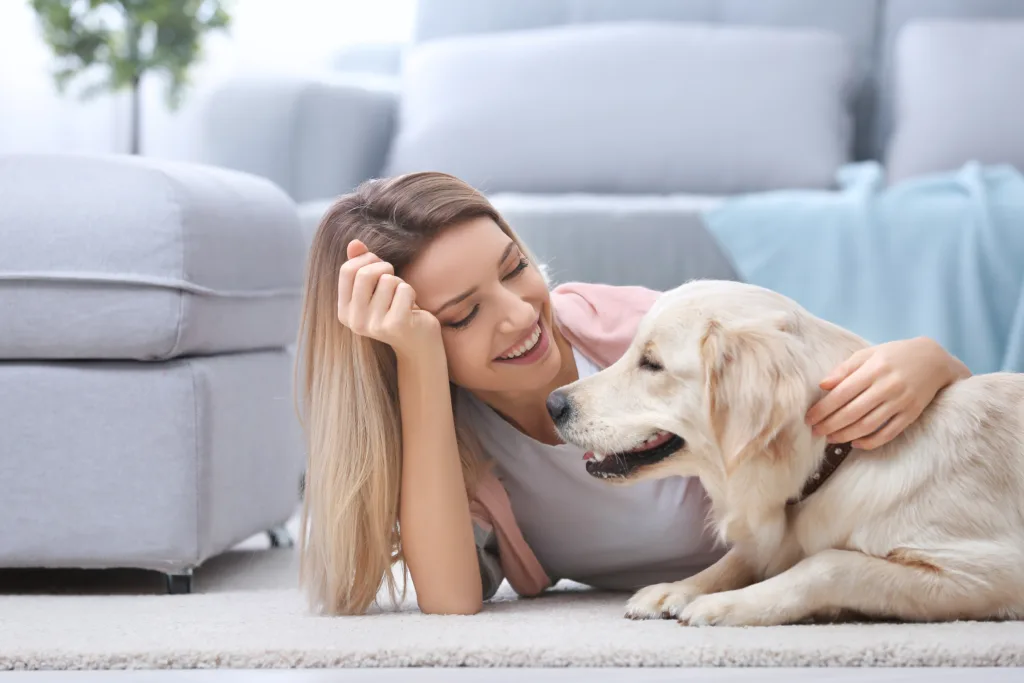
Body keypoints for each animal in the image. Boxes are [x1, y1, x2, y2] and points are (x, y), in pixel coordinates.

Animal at [552, 280, 1024, 626]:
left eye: (651, 364)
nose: (553, 404)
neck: (837, 457)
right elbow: (743, 556)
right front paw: (678, 588)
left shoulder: (985, 568)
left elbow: (828, 563)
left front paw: (726, 605)